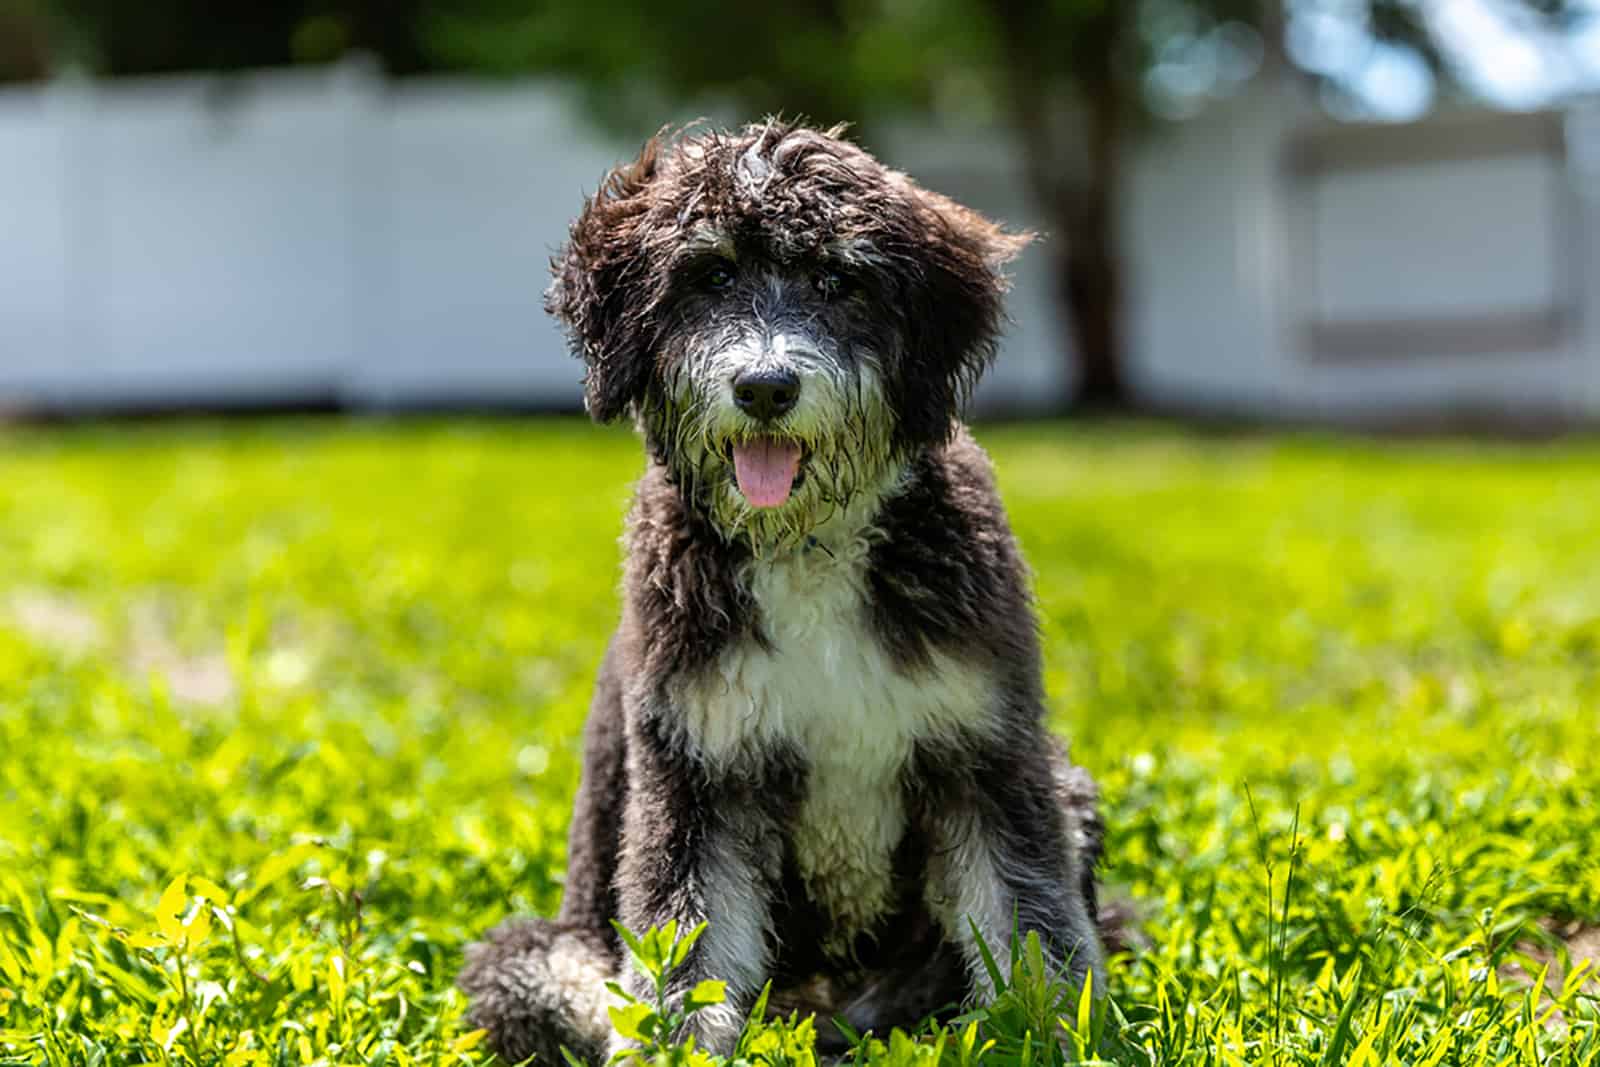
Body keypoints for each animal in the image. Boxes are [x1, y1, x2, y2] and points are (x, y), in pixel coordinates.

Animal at [457, 120, 1107, 1062]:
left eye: (839, 280)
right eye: (711, 275)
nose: (765, 387)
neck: (803, 546)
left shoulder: (986, 749)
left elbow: (1025, 914)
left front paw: (1045, 1031)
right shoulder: (698, 768)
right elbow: (686, 940)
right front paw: (678, 1046)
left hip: (1069, 787)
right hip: (530, 959)